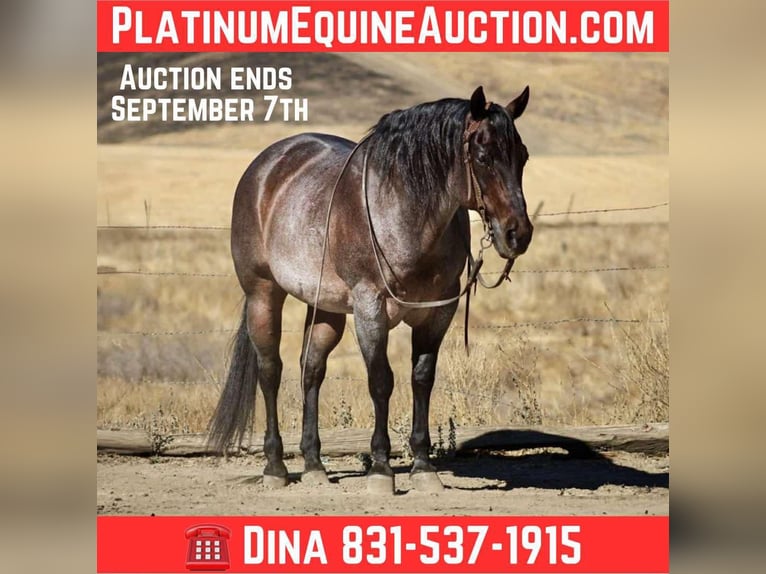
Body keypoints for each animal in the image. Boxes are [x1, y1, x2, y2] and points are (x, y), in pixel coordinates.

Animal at [208, 85, 533, 494]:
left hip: (326, 308)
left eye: (522, 156)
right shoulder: (370, 310)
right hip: (263, 294)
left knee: (311, 369)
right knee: (271, 371)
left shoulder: (437, 312)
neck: (402, 212)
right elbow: (381, 381)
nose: (518, 234)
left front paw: (423, 466)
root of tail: (266, 166)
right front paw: (381, 468)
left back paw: (314, 464)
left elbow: (422, 378)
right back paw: (276, 467)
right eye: (483, 156)